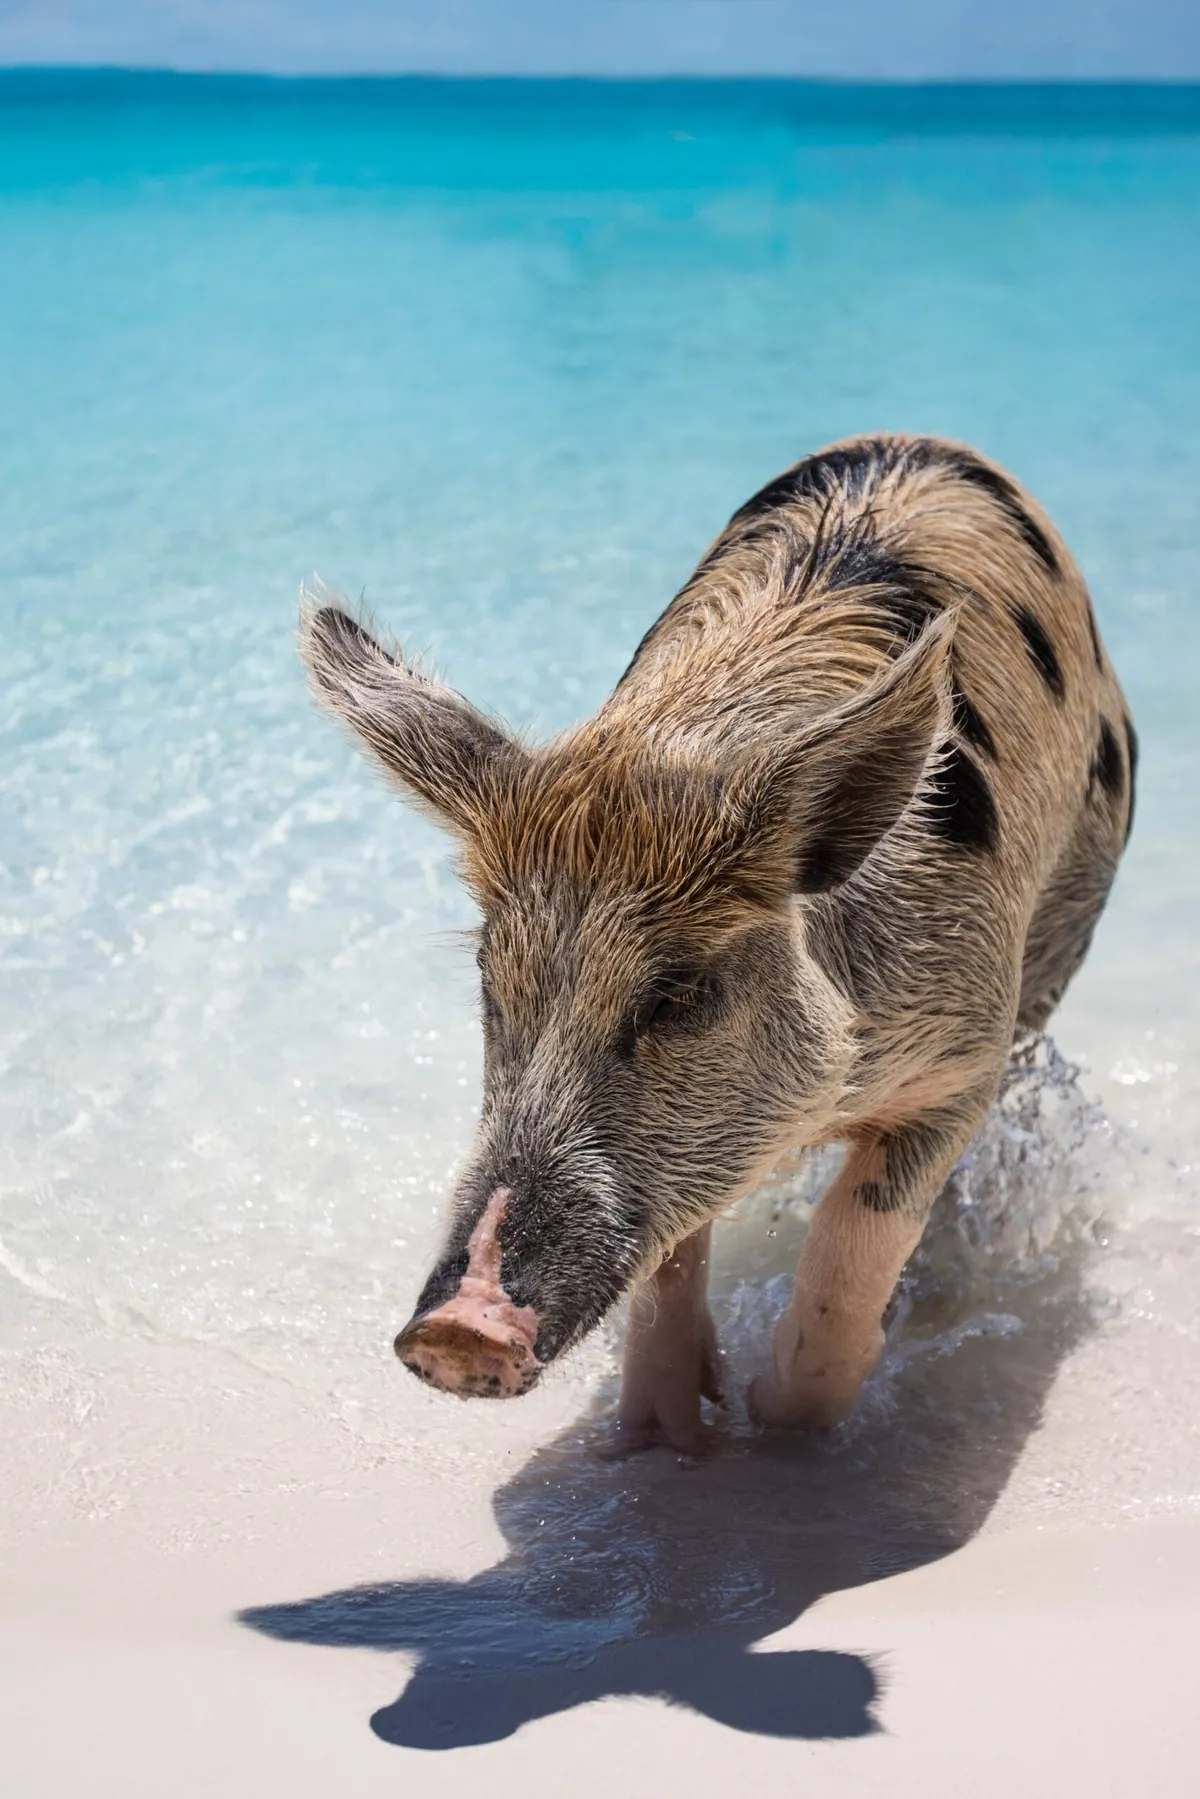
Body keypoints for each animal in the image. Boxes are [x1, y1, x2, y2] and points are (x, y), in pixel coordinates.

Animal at [299, 434, 1135, 1453]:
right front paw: (667, 1431)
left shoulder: (966, 1045)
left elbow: (859, 1232)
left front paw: (775, 1413)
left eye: (679, 995)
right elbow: (671, 1250)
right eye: (492, 985)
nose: (458, 1329)